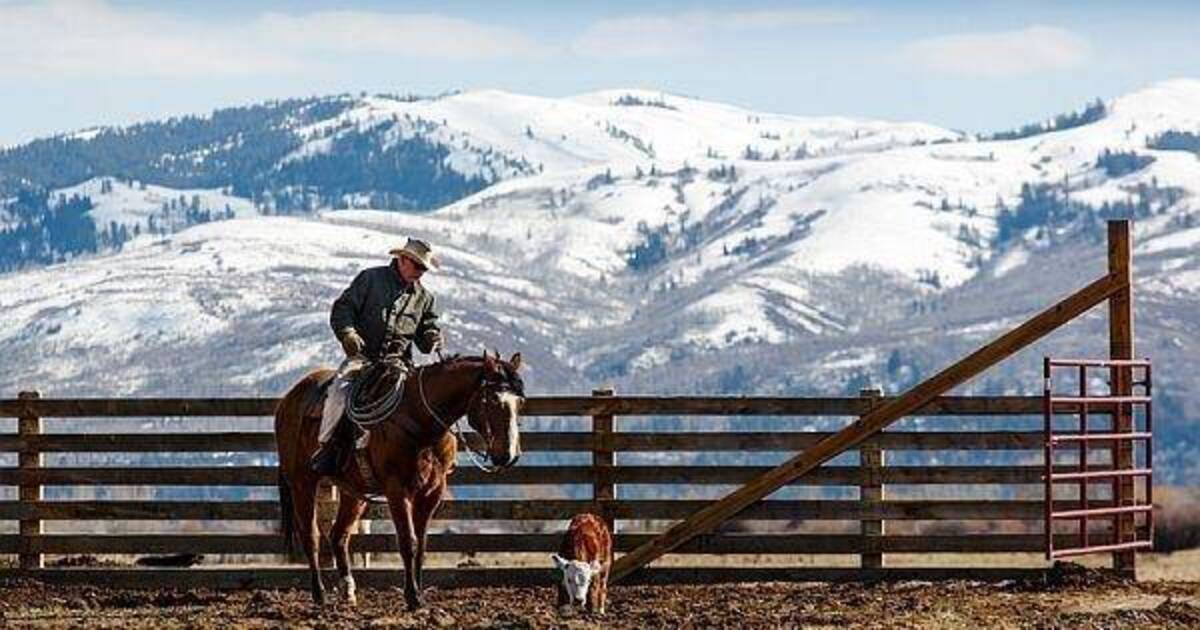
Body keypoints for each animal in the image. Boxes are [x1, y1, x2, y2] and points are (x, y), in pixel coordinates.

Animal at [278, 350, 528, 607]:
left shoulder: (431, 493)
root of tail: (289, 399)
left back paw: (348, 591)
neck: (420, 418)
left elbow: (422, 544)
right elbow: (408, 541)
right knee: (311, 536)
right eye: (493, 400)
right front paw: (412, 597)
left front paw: (420, 594)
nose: (509, 455)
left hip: (353, 492)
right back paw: (319, 595)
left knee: (339, 535)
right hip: (302, 482)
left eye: (520, 402)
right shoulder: (397, 490)